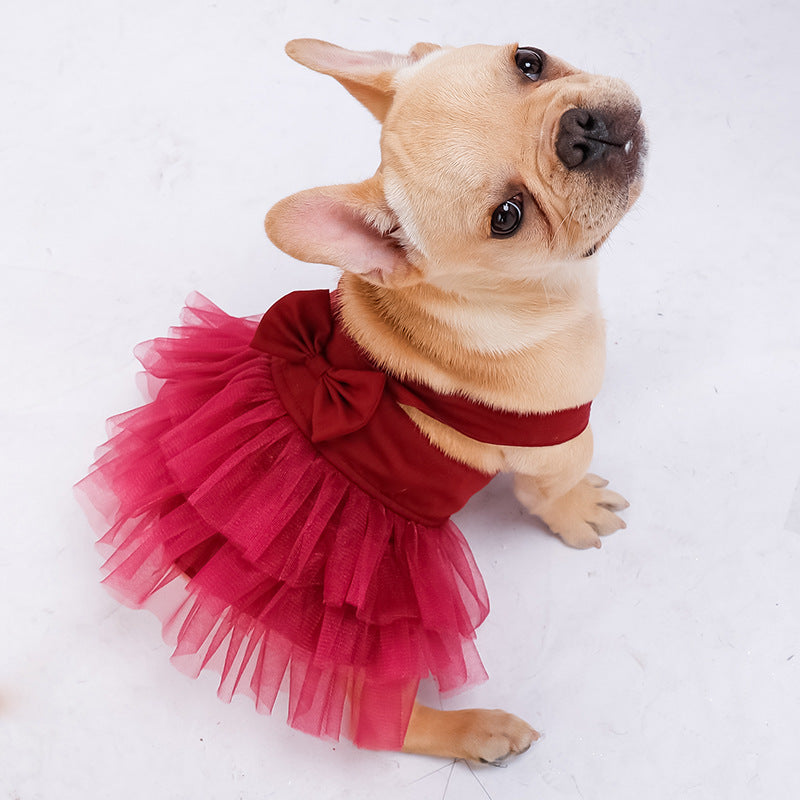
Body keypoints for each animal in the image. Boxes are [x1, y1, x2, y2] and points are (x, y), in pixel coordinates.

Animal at [266, 37, 648, 764]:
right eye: (508, 217)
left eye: (530, 60)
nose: (580, 132)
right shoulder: (555, 441)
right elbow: (553, 492)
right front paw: (578, 510)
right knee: (376, 723)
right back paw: (478, 730)